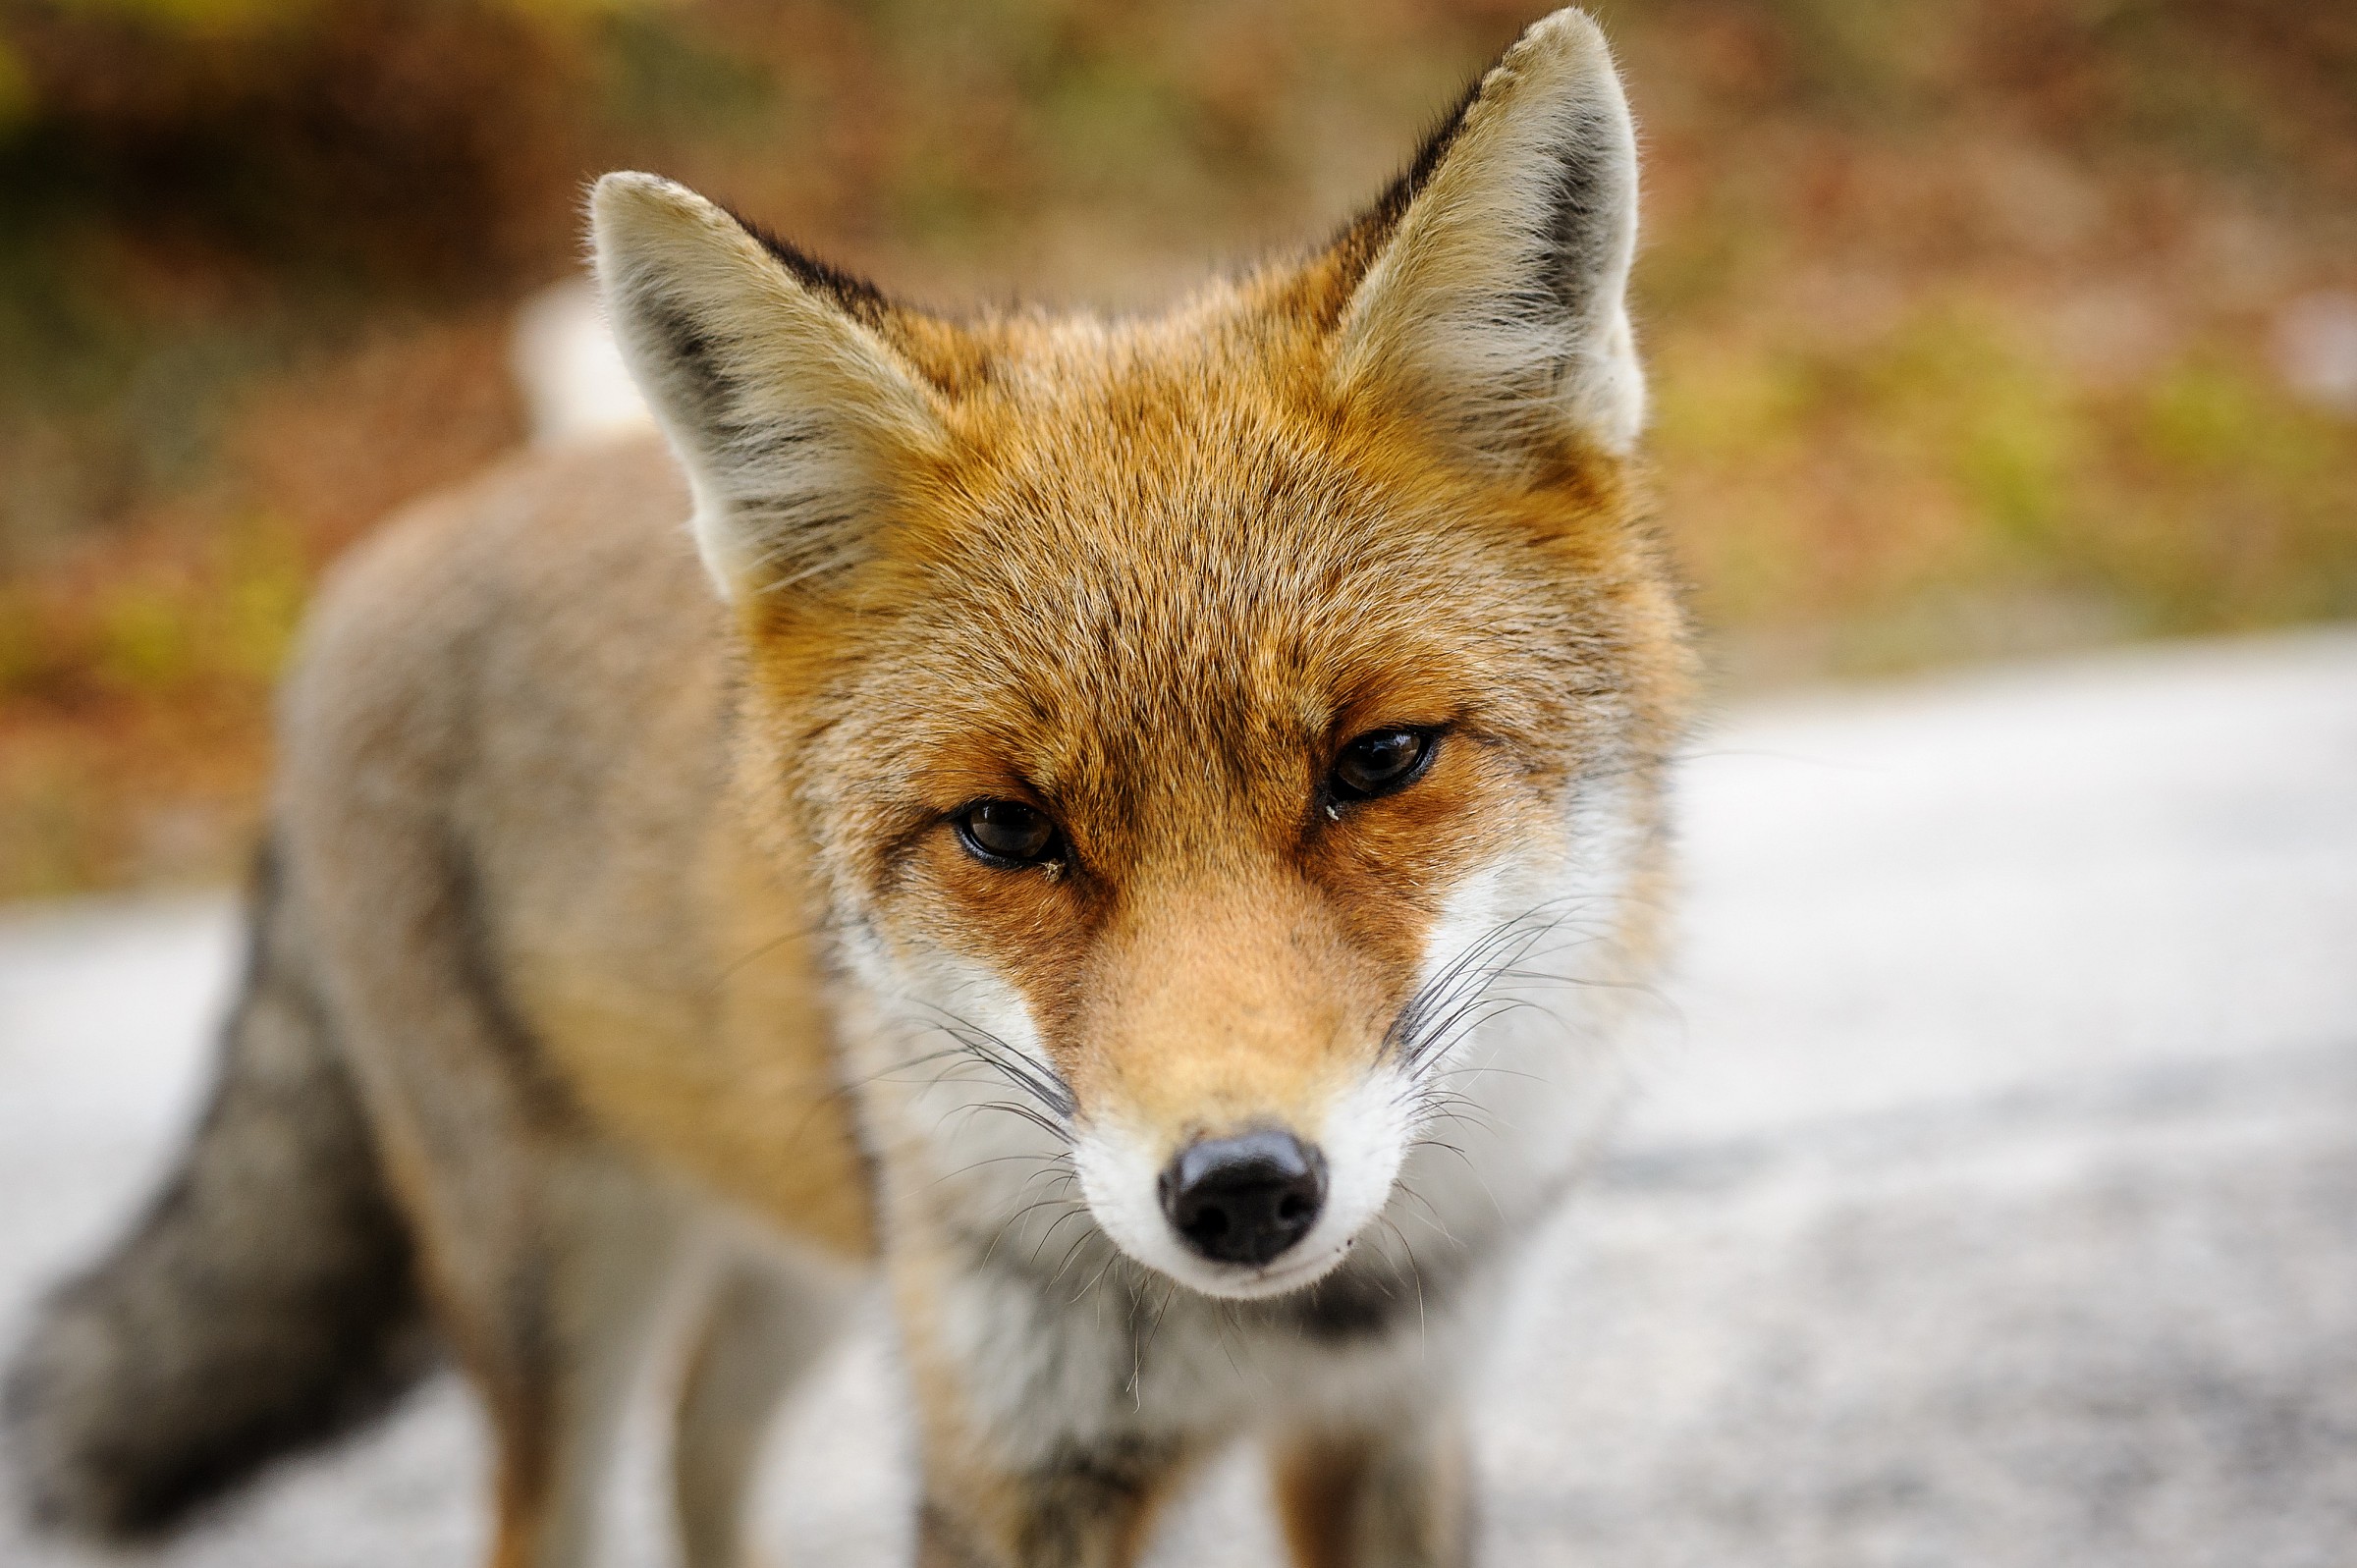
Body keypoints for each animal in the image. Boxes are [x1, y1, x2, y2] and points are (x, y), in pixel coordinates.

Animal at [5, 10, 1691, 1567]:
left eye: (1378, 761)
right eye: (1008, 828)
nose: (1239, 1191)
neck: (1305, 1333)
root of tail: (391, 545)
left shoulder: (1391, 1416)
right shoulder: (1015, 1452)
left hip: (810, 1261)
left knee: (705, 1432)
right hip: (570, 1291)